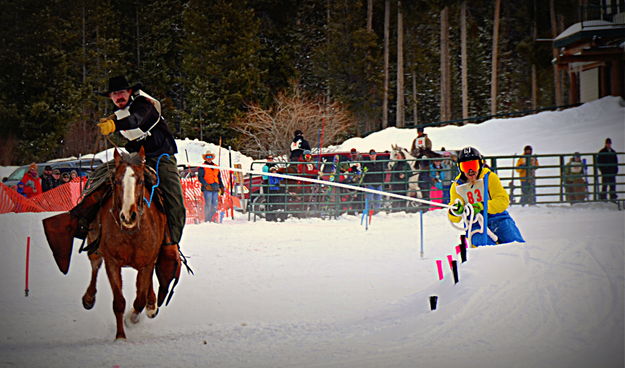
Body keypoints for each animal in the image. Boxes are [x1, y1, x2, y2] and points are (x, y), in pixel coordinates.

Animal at [80, 146, 169, 340]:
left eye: (141, 181)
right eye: (117, 181)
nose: (128, 216)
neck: (131, 234)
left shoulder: (146, 263)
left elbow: (140, 299)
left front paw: (132, 318)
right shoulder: (112, 263)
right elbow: (119, 302)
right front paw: (120, 336)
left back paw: (151, 304)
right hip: (94, 244)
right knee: (94, 264)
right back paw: (89, 298)